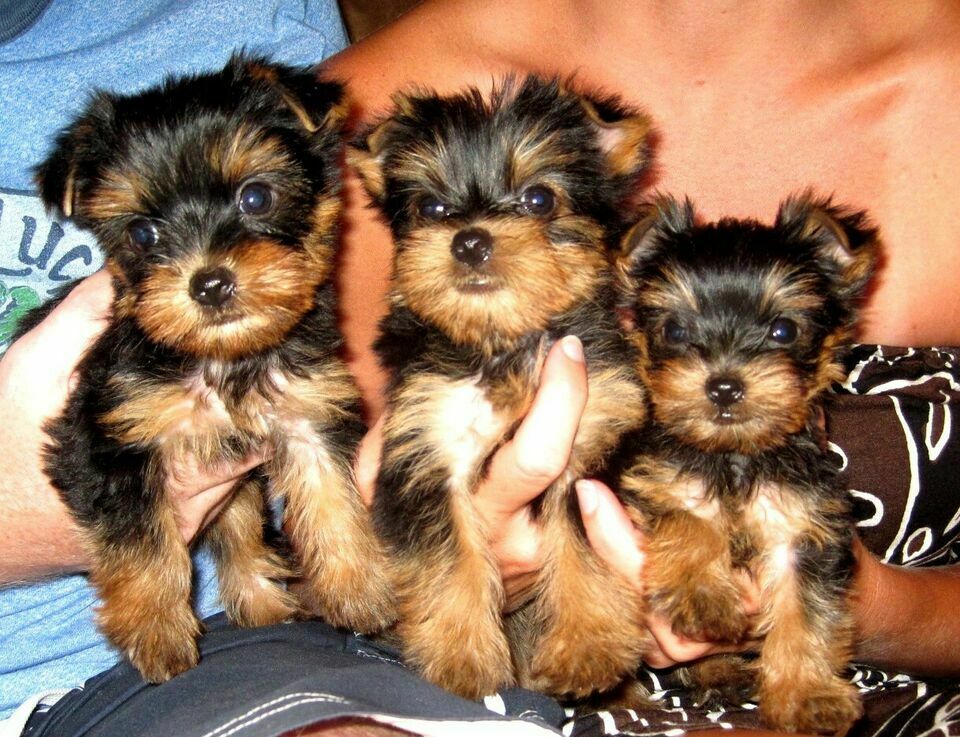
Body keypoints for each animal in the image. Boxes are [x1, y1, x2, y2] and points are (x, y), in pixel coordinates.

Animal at [25, 54, 394, 680]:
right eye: (141, 232)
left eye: (256, 198)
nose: (210, 282)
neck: (225, 359)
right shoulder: (107, 431)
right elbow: (138, 534)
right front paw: (156, 628)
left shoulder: (307, 406)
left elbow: (332, 493)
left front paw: (360, 585)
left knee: (239, 520)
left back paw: (263, 600)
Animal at [348, 76, 656, 700]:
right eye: (430, 208)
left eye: (539, 199)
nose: (468, 240)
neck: (502, 341)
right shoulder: (425, 444)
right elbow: (447, 552)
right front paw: (460, 656)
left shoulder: (596, 436)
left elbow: (584, 537)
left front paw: (589, 646)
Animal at [616, 193, 876, 732]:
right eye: (676, 329)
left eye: (783, 329)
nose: (724, 385)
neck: (733, 456)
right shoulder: (649, 482)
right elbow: (687, 521)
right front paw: (703, 596)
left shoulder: (803, 526)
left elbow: (806, 611)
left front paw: (807, 694)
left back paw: (719, 672)